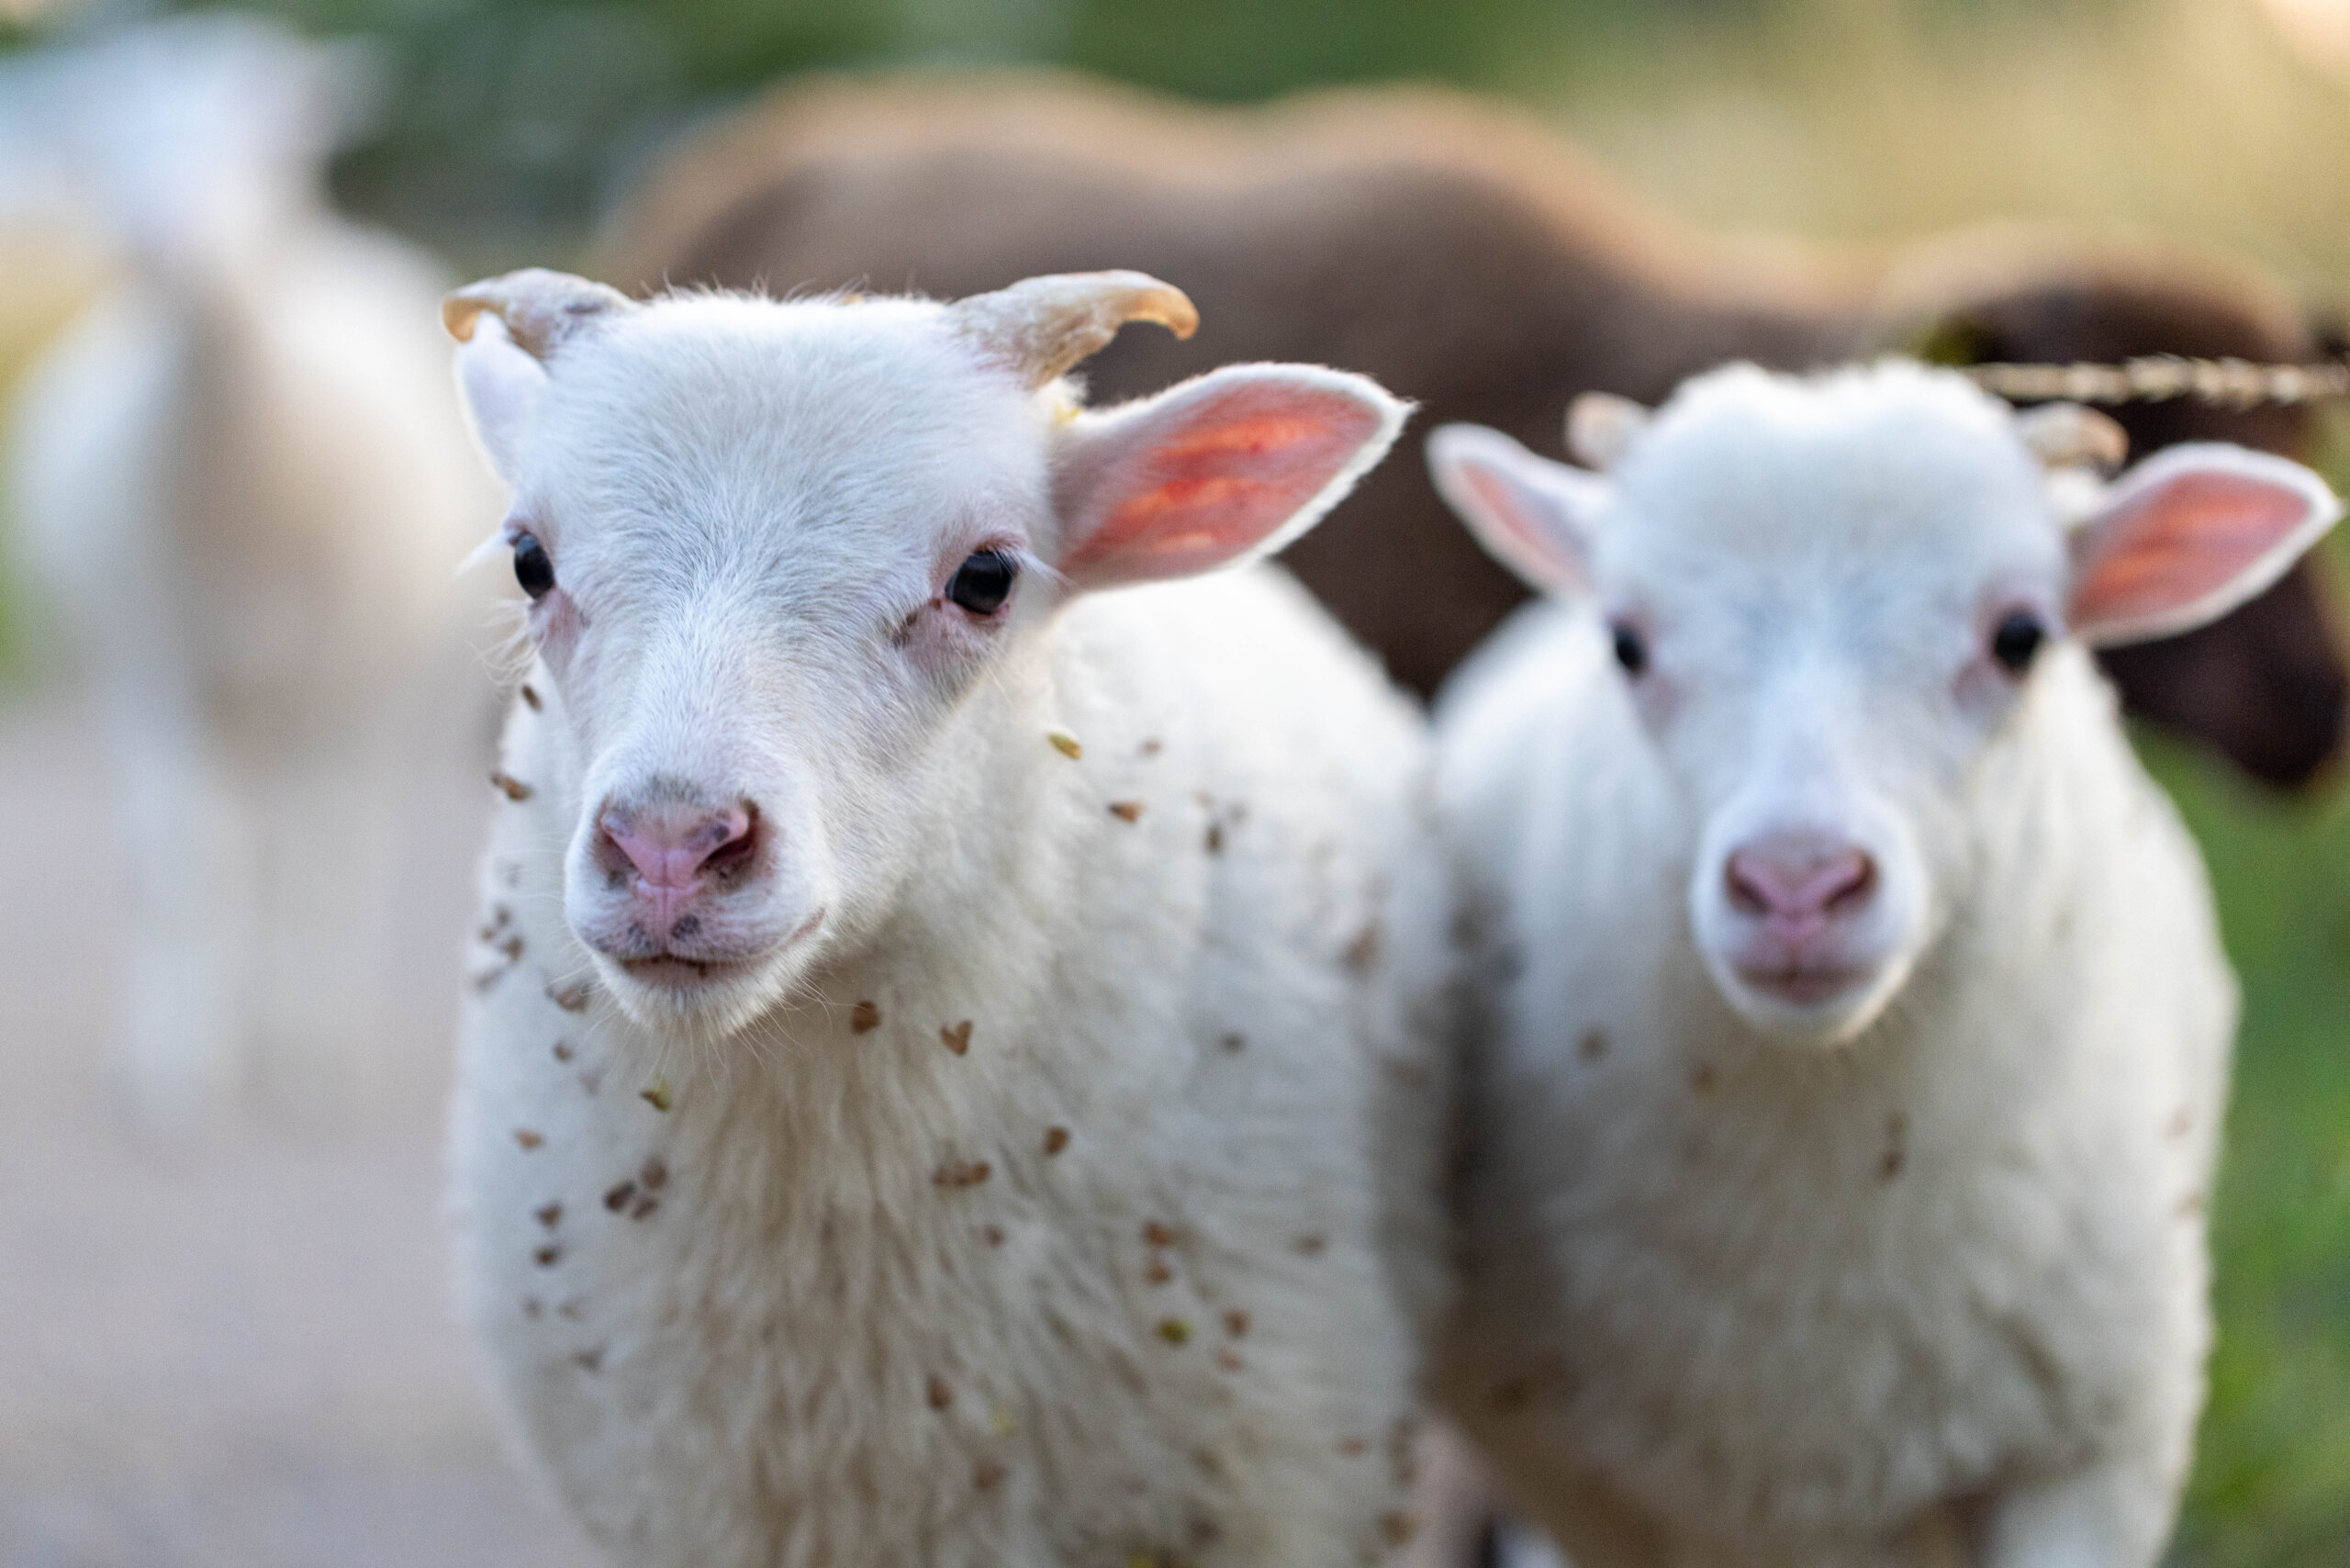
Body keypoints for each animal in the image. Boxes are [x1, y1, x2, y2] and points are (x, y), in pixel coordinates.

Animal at [2, 15, 502, 1129]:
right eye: (110, 146)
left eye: (263, 145)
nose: (160, 245)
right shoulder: (155, 656)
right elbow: (183, 857)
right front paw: (172, 1076)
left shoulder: (348, 669)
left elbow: (318, 856)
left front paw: (305, 1067)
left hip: (387, 680)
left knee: (337, 844)